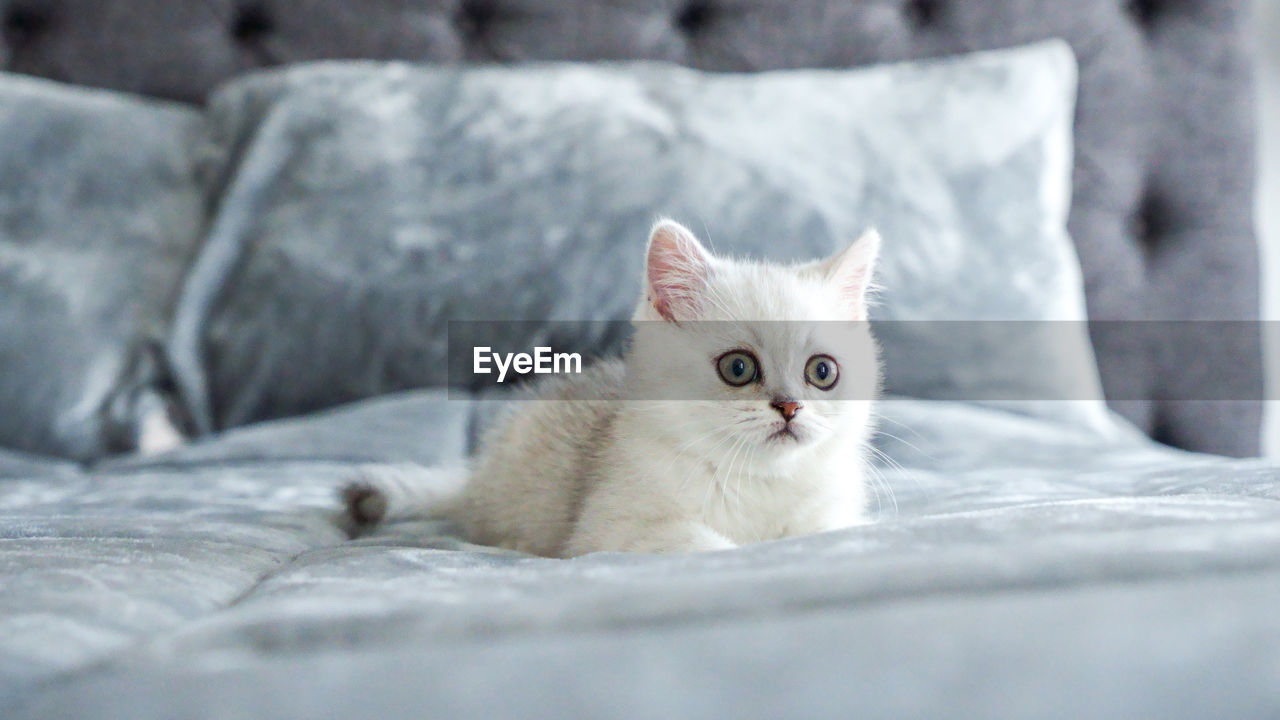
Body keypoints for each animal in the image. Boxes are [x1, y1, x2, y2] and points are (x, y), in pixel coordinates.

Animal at [345, 219, 885, 556]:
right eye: (737, 368)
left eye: (822, 372)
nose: (789, 406)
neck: (758, 481)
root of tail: (478, 478)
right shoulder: (611, 529)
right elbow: (707, 546)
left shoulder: (831, 517)